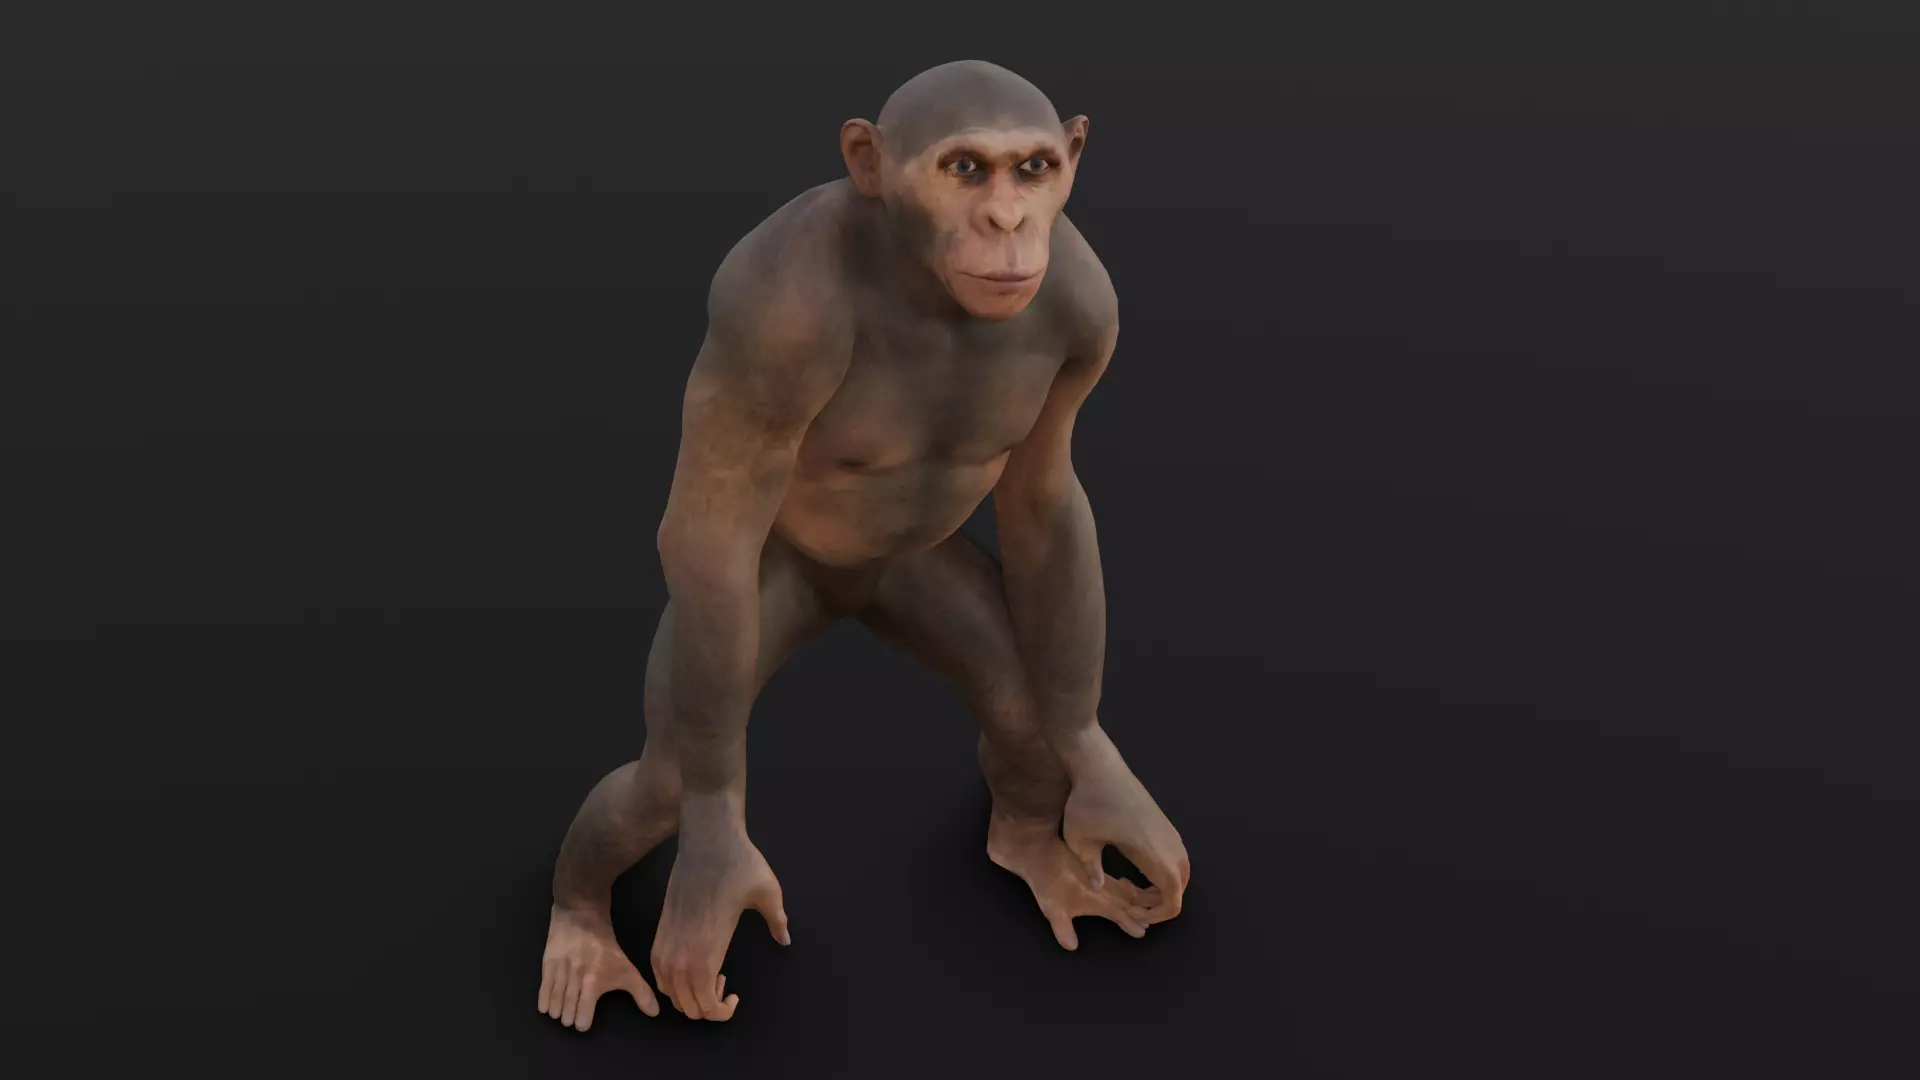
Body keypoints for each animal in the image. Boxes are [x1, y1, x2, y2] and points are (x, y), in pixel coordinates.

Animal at [535, 60, 1191, 1032]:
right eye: (964, 168)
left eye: (1033, 169)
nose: (1007, 223)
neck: (916, 273)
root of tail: (850, 592)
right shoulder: (766, 306)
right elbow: (710, 522)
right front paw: (719, 865)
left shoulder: (1088, 305)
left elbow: (1044, 494)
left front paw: (1108, 788)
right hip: (747, 610)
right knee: (660, 776)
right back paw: (582, 928)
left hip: (917, 577)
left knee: (1015, 704)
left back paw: (1032, 850)